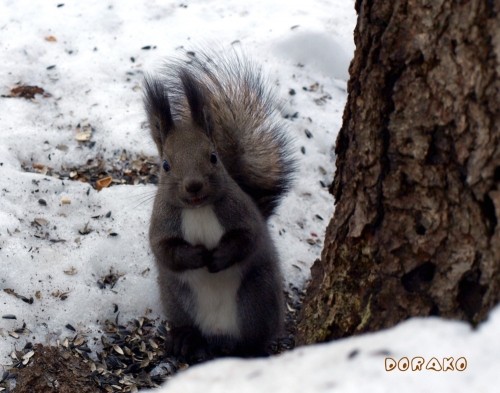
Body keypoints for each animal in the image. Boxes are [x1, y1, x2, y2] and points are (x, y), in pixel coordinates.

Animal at [143, 49, 294, 362]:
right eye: (165, 165)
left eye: (213, 157)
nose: (194, 185)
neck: (199, 209)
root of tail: (219, 334)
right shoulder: (162, 224)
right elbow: (165, 250)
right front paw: (197, 256)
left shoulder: (243, 214)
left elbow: (248, 239)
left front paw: (218, 257)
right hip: (175, 300)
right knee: (188, 325)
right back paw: (184, 339)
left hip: (257, 298)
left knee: (257, 336)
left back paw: (251, 350)